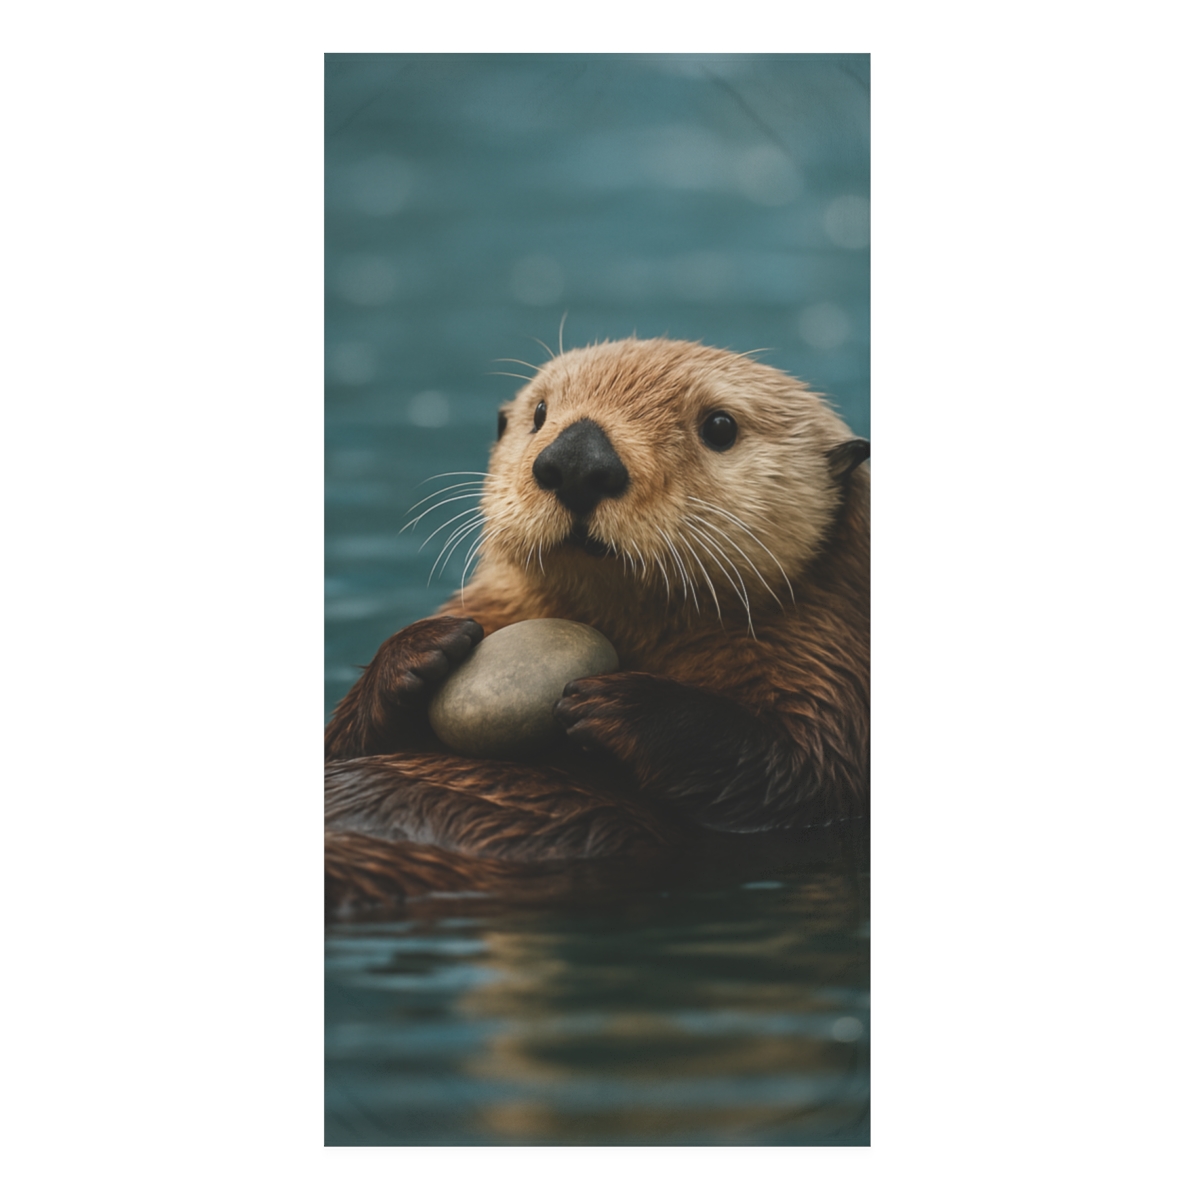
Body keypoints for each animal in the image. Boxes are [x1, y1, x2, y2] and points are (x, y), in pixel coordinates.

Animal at [325, 338, 869, 915]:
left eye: (721, 426)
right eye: (540, 413)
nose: (575, 460)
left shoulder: (830, 675)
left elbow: (806, 771)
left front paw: (619, 705)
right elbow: (339, 742)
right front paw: (421, 649)